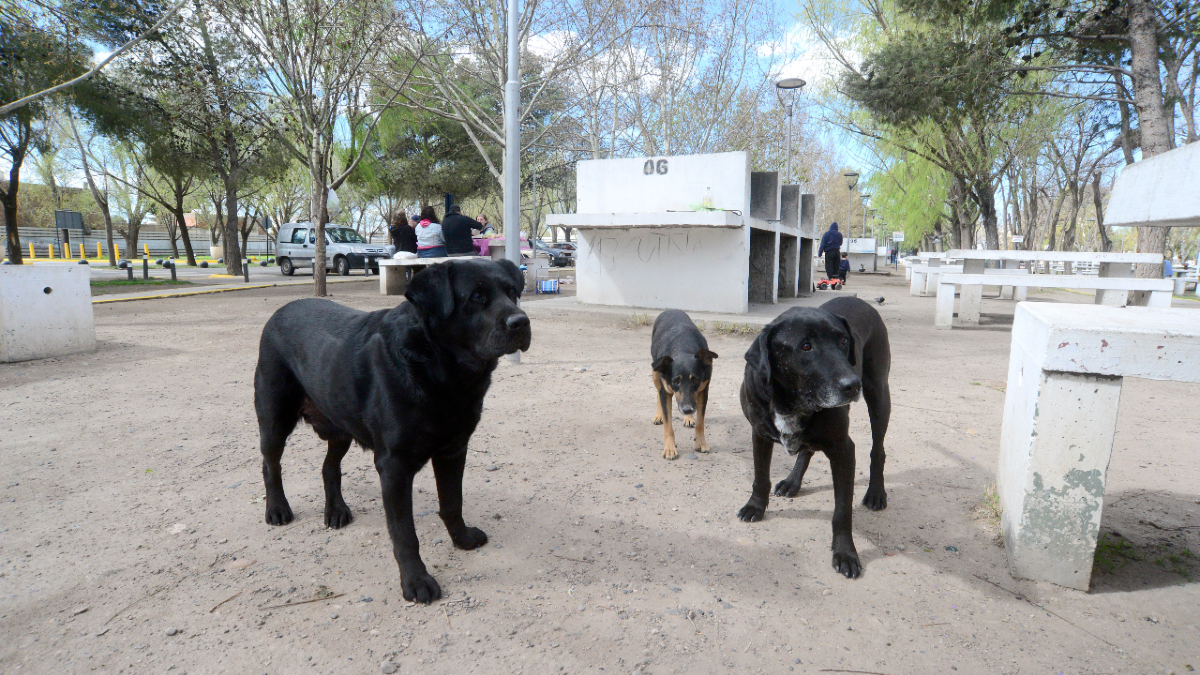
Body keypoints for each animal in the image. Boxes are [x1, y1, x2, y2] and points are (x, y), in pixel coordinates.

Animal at [253, 255, 530, 598]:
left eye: (512, 292)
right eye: (477, 297)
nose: (521, 322)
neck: (441, 371)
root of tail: (279, 312)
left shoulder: (454, 450)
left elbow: (453, 502)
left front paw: (462, 538)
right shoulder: (394, 465)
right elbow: (404, 532)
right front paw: (416, 581)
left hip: (341, 425)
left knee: (329, 467)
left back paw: (335, 510)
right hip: (275, 419)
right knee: (271, 465)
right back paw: (277, 509)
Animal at [652, 309, 715, 456]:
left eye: (695, 379)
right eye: (676, 381)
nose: (687, 409)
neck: (683, 347)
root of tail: (671, 310)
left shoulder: (703, 390)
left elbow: (700, 422)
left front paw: (701, 443)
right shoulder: (666, 390)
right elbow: (668, 425)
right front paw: (669, 449)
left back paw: (689, 417)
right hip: (655, 373)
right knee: (658, 393)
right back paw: (659, 415)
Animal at [729, 296, 892, 576]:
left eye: (844, 341)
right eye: (805, 346)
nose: (853, 385)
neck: (792, 401)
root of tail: (858, 299)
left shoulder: (843, 450)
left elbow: (842, 511)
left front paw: (845, 552)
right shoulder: (759, 435)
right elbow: (760, 477)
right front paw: (755, 507)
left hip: (880, 395)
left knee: (877, 450)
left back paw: (875, 493)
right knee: (806, 450)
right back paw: (792, 482)